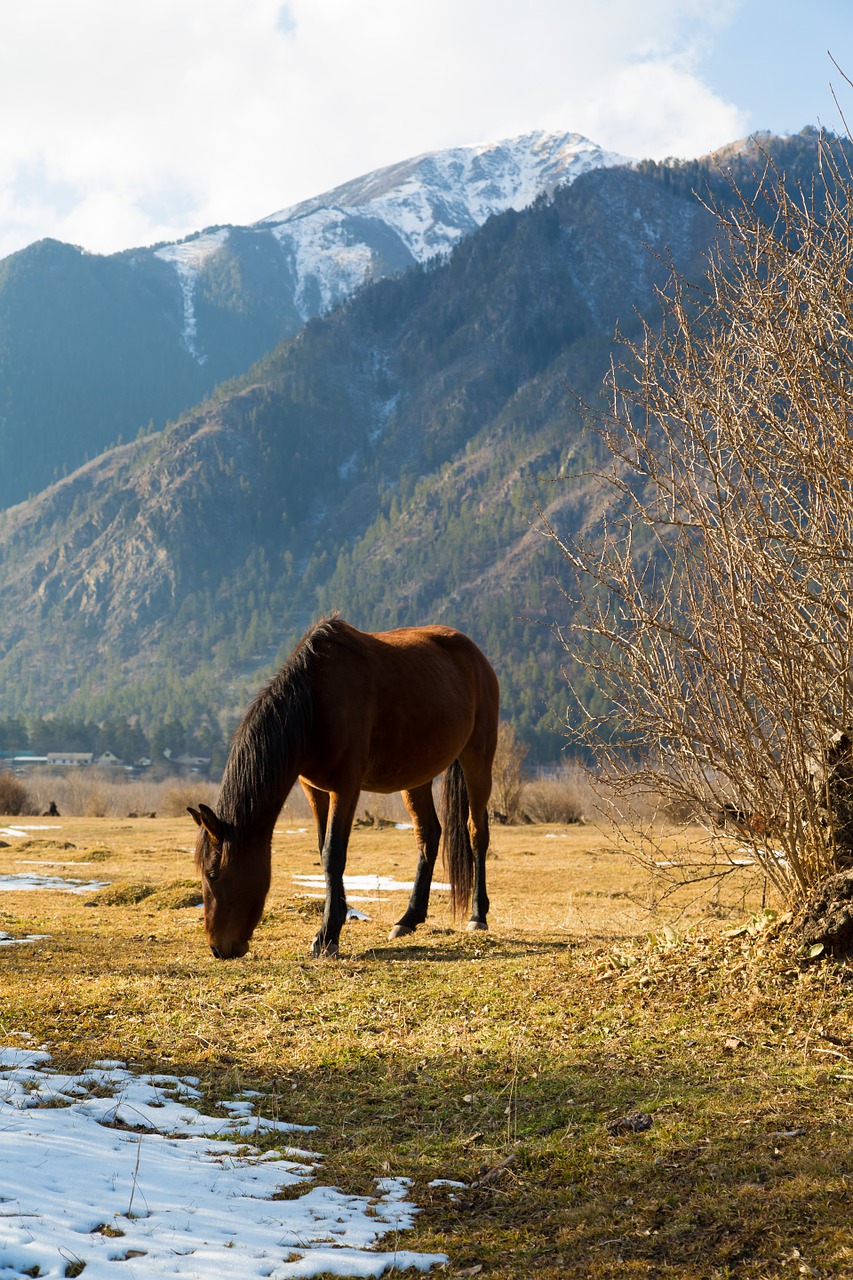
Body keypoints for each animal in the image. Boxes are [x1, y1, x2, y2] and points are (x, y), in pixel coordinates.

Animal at [185, 619, 499, 962]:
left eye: (213, 875)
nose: (218, 948)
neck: (315, 703)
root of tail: (475, 654)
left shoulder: (345, 787)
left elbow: (334, 852)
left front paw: (327, 935)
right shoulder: (314, 789)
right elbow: (323, 849)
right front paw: (337, 918)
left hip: (477, 759)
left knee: (476, 831)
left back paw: (477, 915)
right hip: (417, 777)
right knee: (428, 836)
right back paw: (408, 918)